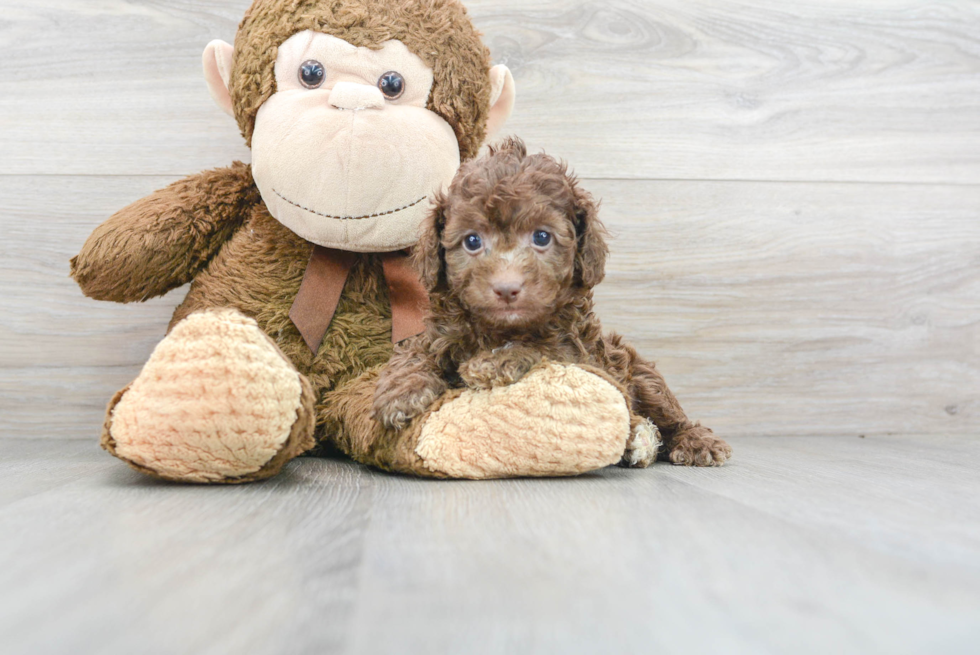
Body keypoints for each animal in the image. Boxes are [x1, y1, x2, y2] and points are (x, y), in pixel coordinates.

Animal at [372, 137, 732, 466]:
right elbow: (414, 352)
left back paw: (691, 441)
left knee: (669, 414)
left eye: (542, 237)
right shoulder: (440, 334)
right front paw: (401, 391)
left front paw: (496, 361)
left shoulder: (579, 351)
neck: (501, 329)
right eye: (472, 241)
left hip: (641, 374)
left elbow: (545, 349)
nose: (507, 288)